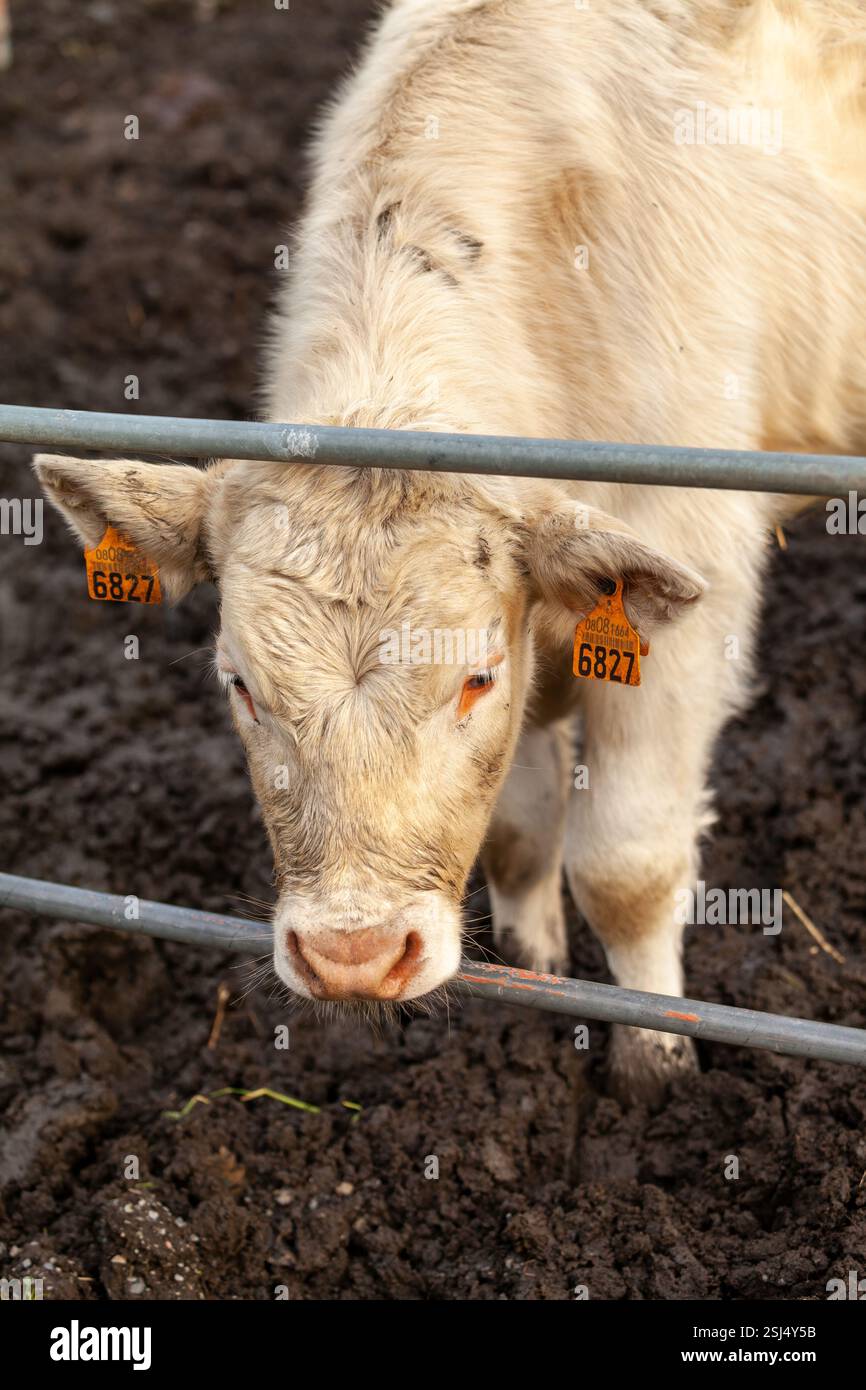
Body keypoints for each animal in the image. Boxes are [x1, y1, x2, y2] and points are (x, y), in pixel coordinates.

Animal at [34, 0, 866, 1101]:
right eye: (240, 685)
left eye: (473, 679)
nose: (352, 954)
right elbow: (519, 834)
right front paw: (535, 970)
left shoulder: (692, 585)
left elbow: (627, 866)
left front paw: (654, 1058)